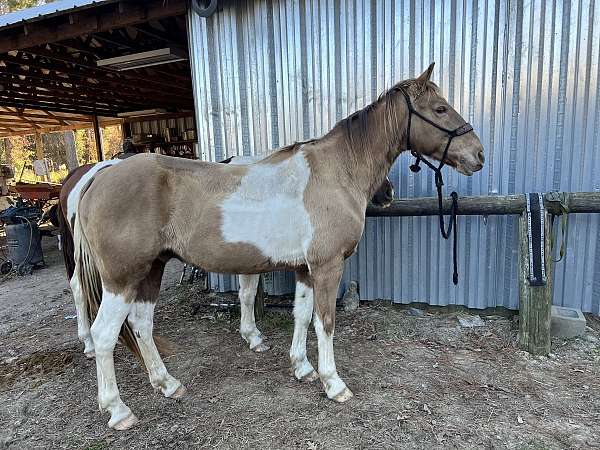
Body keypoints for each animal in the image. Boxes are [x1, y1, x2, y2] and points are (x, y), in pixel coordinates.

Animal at [55, 155, 394, 358]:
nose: (388, 193)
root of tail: (88, 178)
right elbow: (249, 295)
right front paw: (253, 335)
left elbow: (246, 294)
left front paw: (252, 335)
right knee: (84, 294)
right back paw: (91, 344)